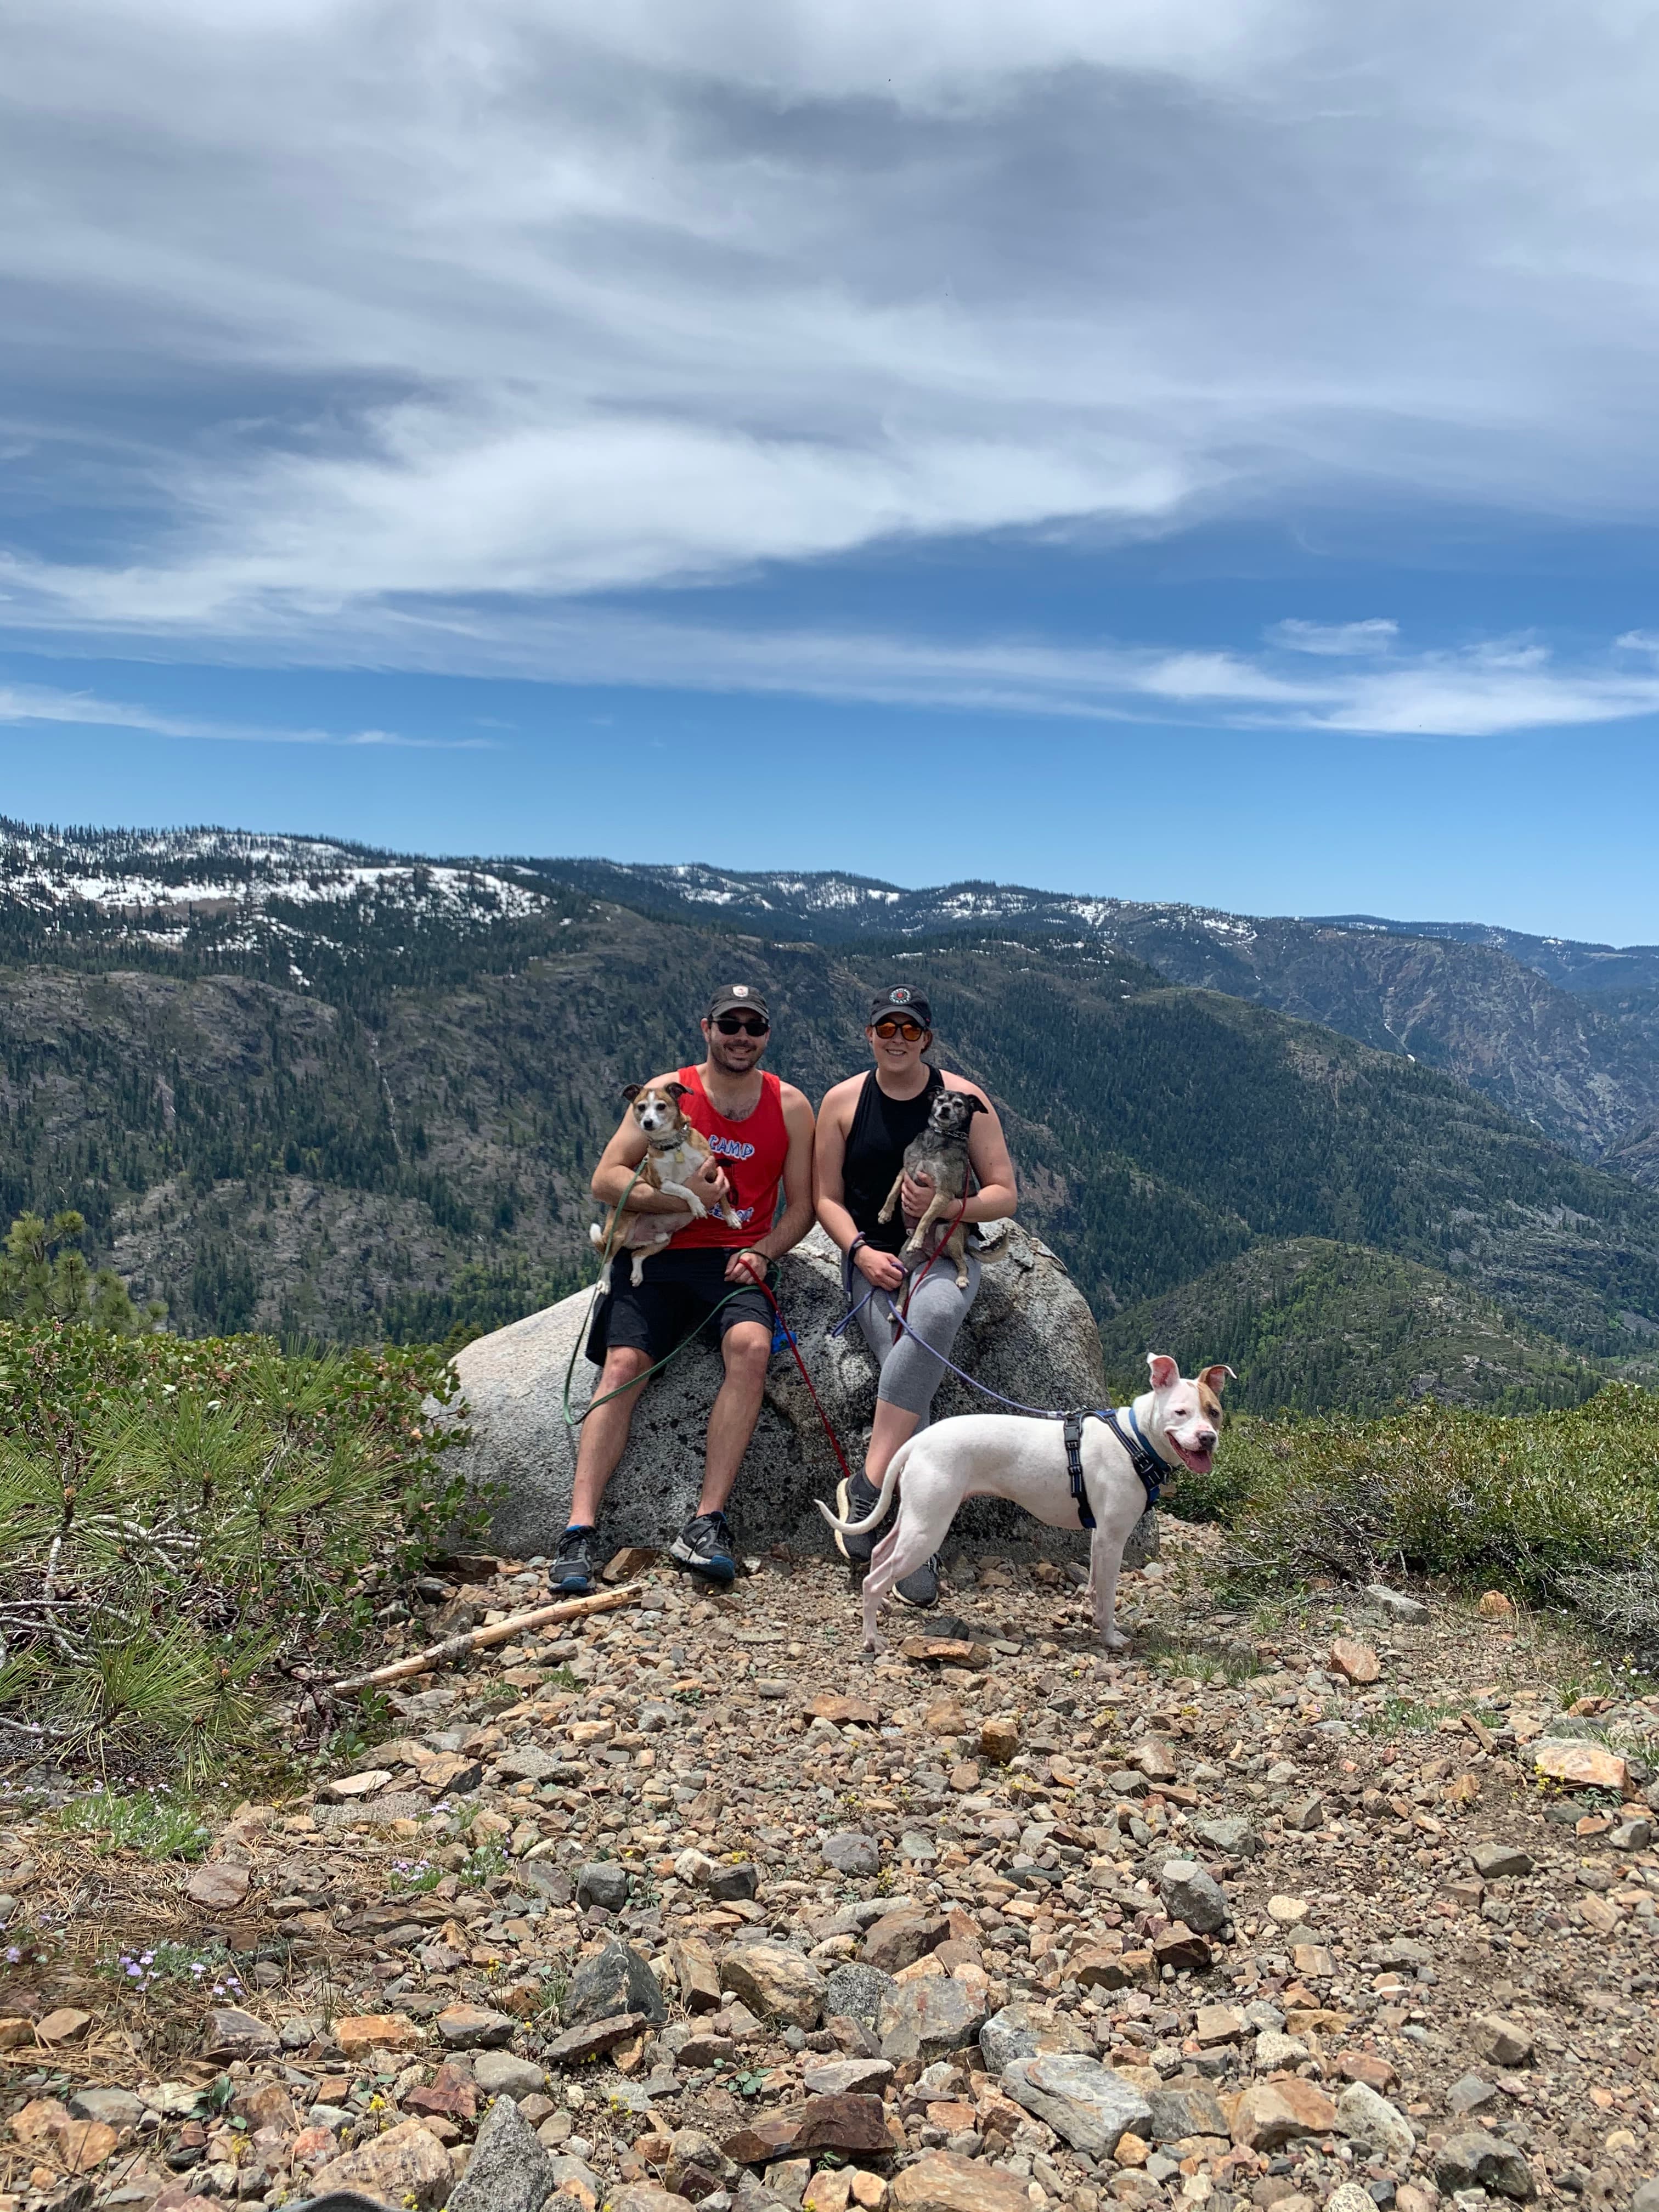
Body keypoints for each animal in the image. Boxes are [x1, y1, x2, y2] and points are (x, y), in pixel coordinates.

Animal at [588, 1079, 738, 1291]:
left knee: (636, 1255)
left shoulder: (712, 1171)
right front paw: (697, 1205)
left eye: (661, 1106)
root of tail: (633, 1240)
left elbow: (723, 1196)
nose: (647, 1122)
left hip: (664, 1241)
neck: (673, 1146)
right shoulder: (662, 1183)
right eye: (641, 1107)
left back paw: (637, 1274)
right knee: (608, 1258)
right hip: (618, 1232)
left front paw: (731, 1217)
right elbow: (686, 1190)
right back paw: (604, 1282)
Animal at [822, 1353, 1238, 1654]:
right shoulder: (1113, 1539)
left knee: (879, 1555)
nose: (1208, 1438)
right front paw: (1110, 1637)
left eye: (1214, 1412)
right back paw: (872, 1638)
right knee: (875, 1579)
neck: (1134, 1438)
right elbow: (1107, 1597)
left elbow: (1094, 1586)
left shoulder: (1099, 1538)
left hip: (916, 1517)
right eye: (1181, 1412)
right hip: (928, 1528)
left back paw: (881, 1611)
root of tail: (917, 1440)